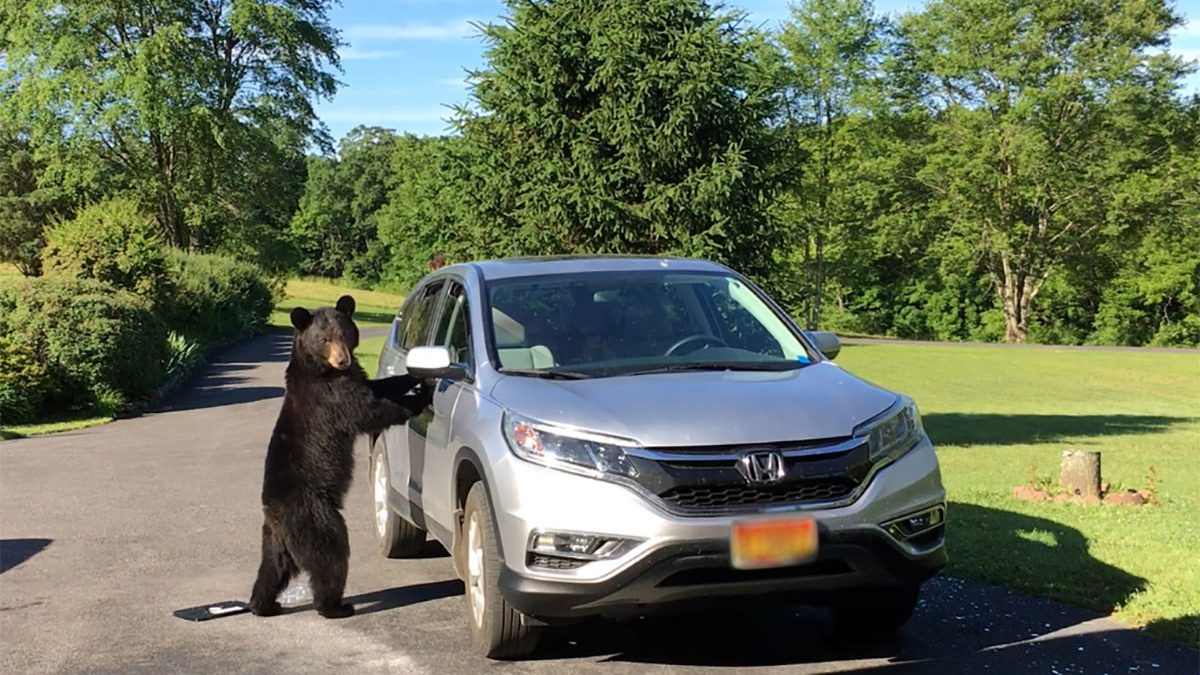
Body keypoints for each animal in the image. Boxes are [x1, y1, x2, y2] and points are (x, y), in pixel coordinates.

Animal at [248, 294, 432, 619]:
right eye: (325, 339)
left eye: (345, 334)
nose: (343, 359)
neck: (322, 368)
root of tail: (277, 515)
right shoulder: (329, 396)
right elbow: (368, 410)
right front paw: (418, 398)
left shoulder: (353, 376)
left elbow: (376, 384)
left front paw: (412, 375)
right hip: (316, 516)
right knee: (330, 556)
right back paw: (336, 606)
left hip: (273, 539)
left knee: (272, 568)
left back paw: (264, 604)